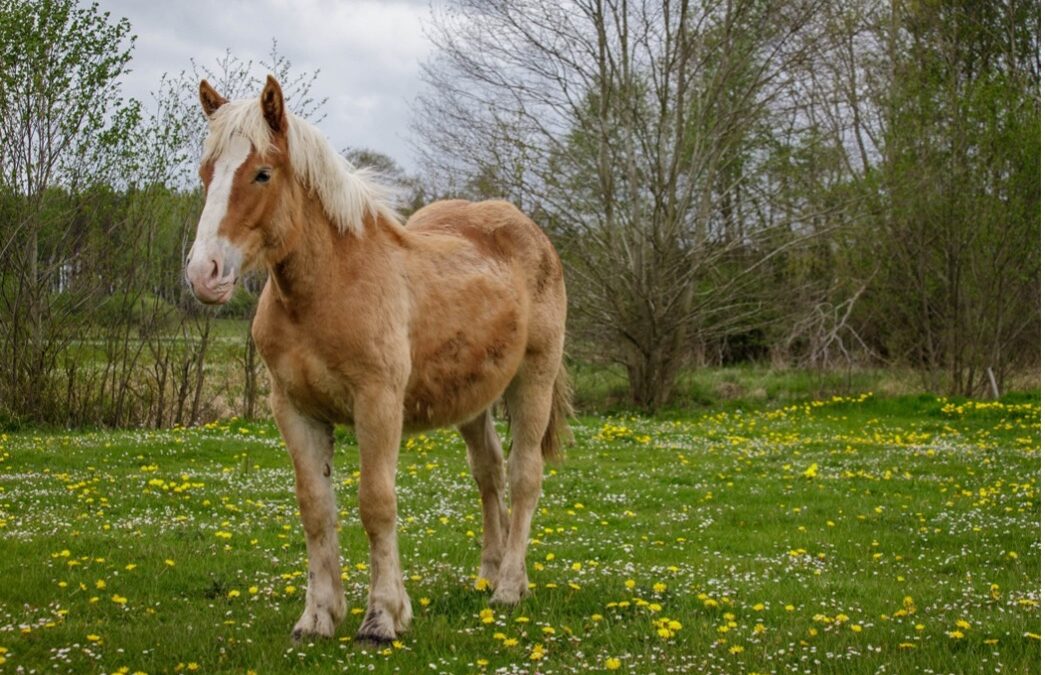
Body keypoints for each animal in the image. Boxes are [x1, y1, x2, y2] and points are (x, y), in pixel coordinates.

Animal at [181, 76, 572, 643]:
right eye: (206, 172)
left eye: (262, 173)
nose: (204, 273)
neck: (328, 288)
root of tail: (530, 231)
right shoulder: (295, 411)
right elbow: (316, 509)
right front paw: (318, 616)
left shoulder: (378, 404)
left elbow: (376, 503)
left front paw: (383, 616)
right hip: (474, 400)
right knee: (489, 473)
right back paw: (488, 573)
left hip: (532, 381)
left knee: (525, 475)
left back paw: (509, 587)